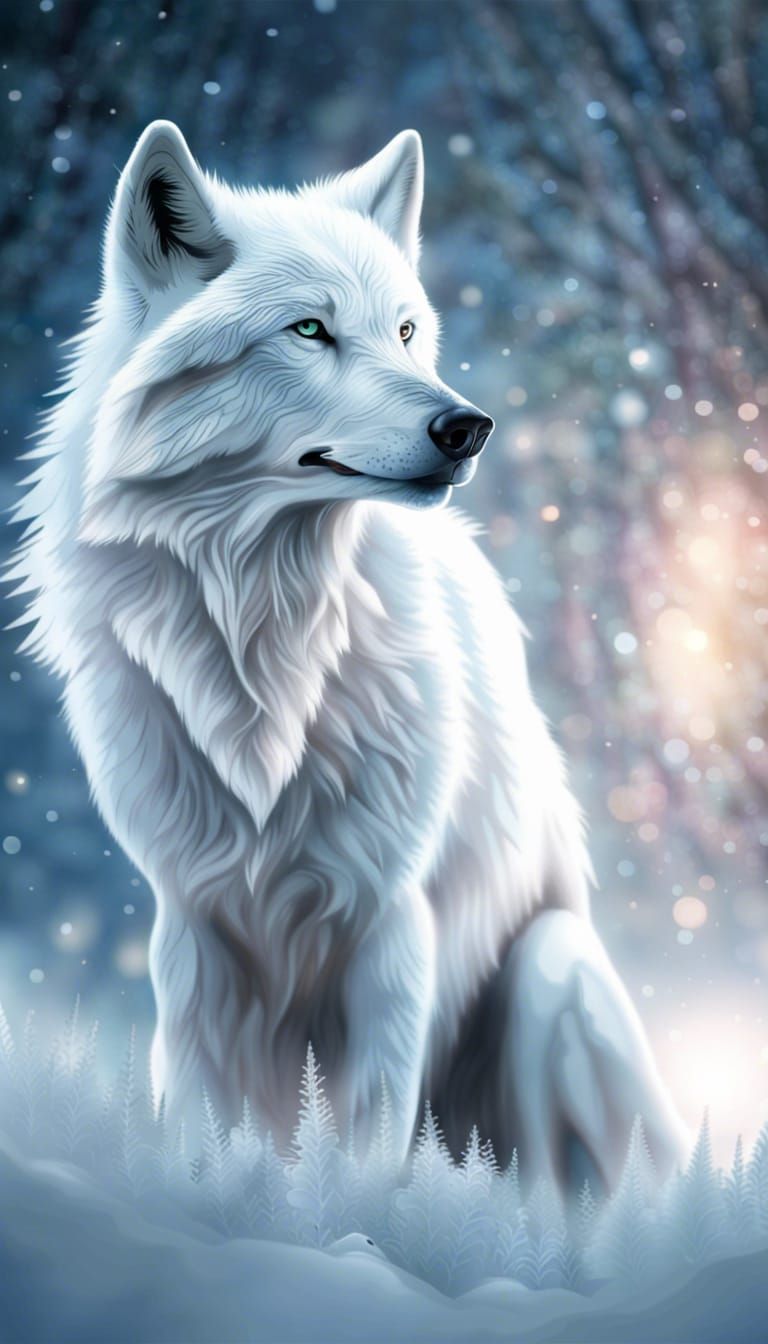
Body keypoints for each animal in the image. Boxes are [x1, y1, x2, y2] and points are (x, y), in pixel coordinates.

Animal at [9, 121, 687, 1190]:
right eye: (309, 331)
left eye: (405, 331)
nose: (468, 426)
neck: (268, 635)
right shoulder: (192, 926)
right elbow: (202, 1122)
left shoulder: (391, 926)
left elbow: (367, 1144)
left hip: (552, 969)